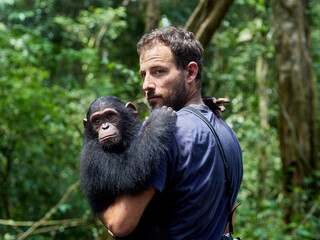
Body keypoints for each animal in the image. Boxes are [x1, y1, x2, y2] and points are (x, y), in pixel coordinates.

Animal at [79, 95, 175, 238]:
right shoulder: (92, 155)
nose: (105, 127)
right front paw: (158, 119)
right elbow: (127, 174)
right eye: (97, 120)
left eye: (109, 116)